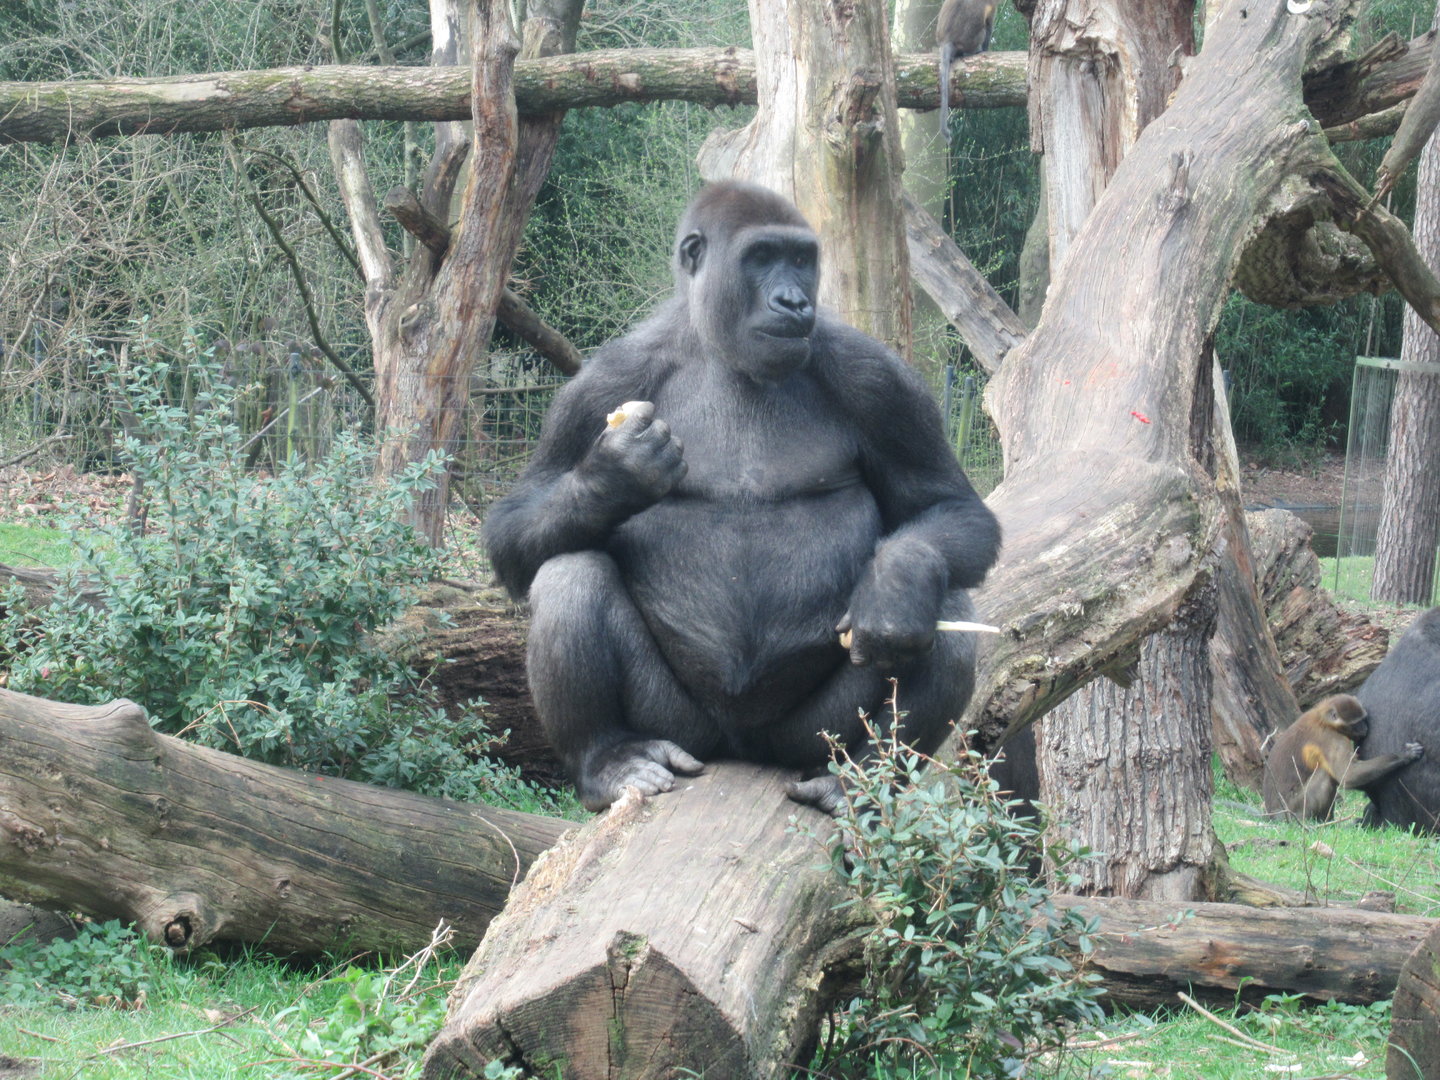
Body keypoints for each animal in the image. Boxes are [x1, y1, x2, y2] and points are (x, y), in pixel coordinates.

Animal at [937, 0, 998, 142]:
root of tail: (947, 40)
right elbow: (989, 24)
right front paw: (986, 49)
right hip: (972, 39)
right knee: (983, 29)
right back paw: (976, 51)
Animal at [1261, 694, 1424, 822]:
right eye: (1356, 723)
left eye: (1364, 719)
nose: (1365, 728)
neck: (1322, 719)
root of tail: (1273, 814)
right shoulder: (1332, 738)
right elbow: (1348, 775)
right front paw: (1404, 755)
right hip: (1294, 808)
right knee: (1326, 775)